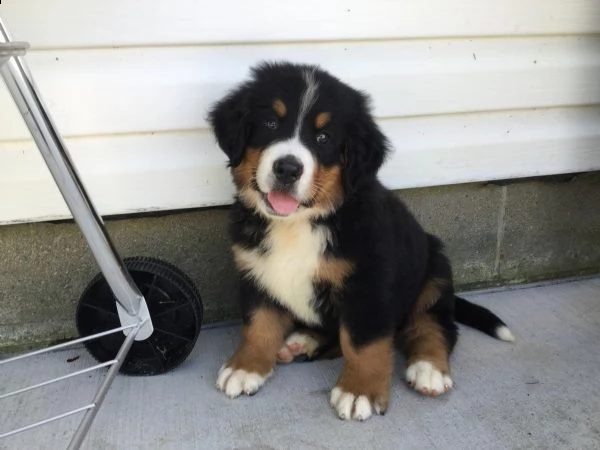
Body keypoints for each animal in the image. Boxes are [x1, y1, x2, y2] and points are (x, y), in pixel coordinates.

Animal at [206, 61, 510, 420]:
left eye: (323, 138)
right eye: (270, 123)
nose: (288, 168)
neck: (300, 223)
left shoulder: (368, 285)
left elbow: (362, 343)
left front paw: (358, 390)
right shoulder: (256, 272)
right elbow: (259, 324)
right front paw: (246, 366)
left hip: (434, 268)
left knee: (434, 326)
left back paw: (428, 368)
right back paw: (301, 341)